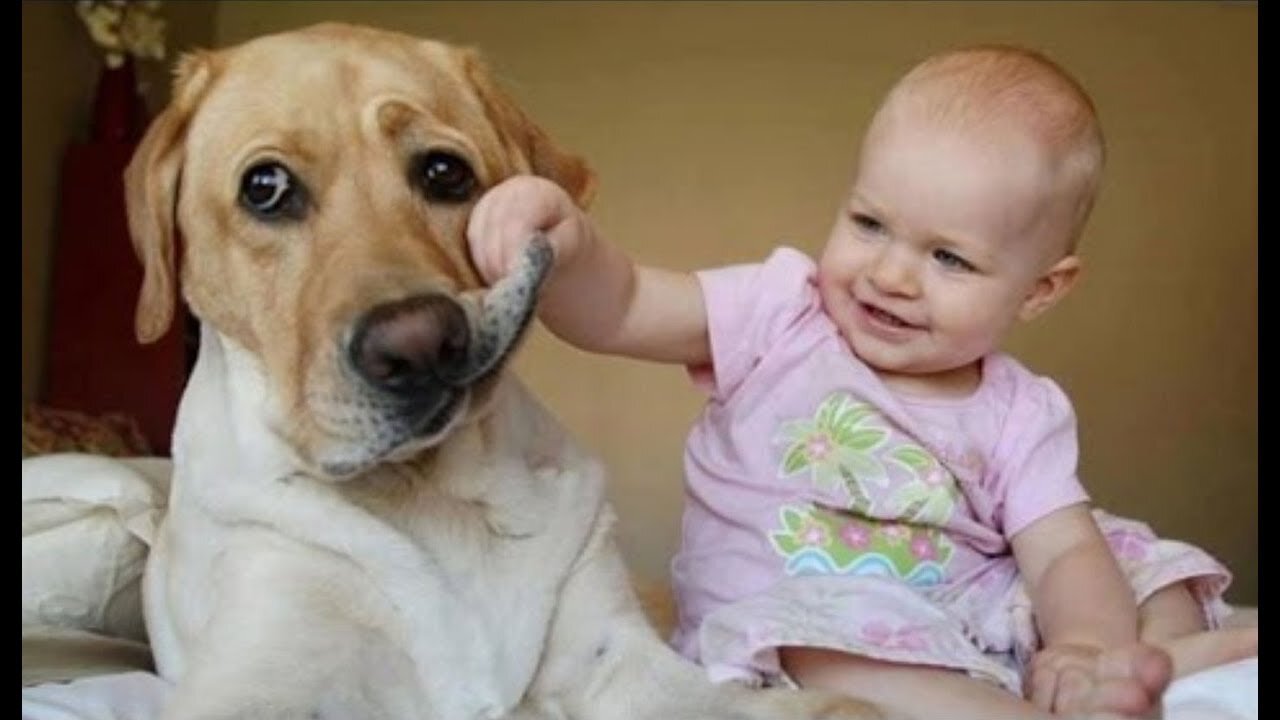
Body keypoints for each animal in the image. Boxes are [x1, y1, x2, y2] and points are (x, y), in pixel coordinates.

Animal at [124, 22, 890, 717]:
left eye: (443, 172)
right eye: (265, 187)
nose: (419, 345)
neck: (427, 489)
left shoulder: (618, 658)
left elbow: (836, 707)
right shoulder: (257, 668)